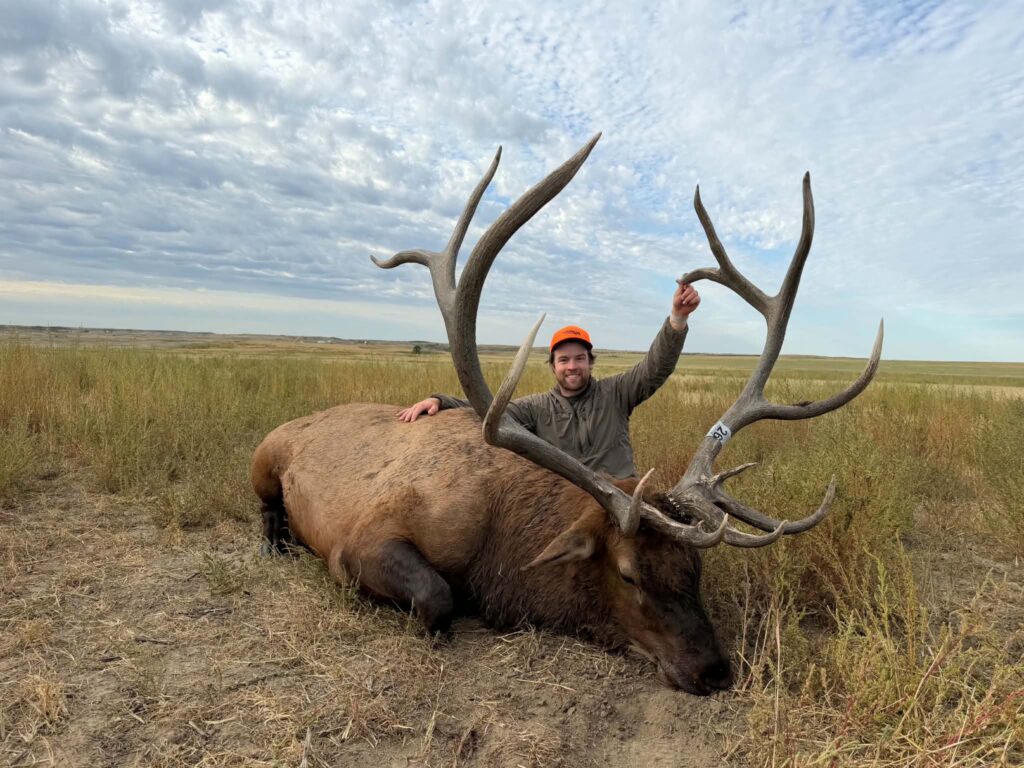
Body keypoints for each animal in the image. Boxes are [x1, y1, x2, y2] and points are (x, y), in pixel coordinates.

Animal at [250, 133, 883, 695]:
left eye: (695, 570)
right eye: (628, 573)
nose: (715, 671)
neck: (498, 549)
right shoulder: (360, 540)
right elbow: (436, 597)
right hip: (262, 458)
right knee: (267, 506)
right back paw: (276, 541)